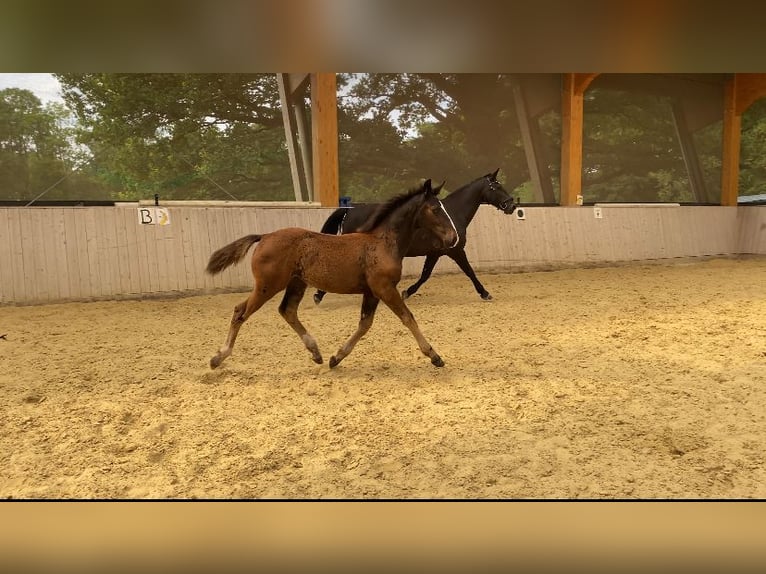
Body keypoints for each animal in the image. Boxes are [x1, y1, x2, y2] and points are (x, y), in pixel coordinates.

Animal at [316, 170, 520, 308]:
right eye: (497, 187)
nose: (511, 205)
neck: (453, 214)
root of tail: (349, 210)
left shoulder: (435, 253)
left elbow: (425, 275)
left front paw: (407, 292)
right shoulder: (455, 250)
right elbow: (469, 271)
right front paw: (485, 293)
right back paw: (319, 294)